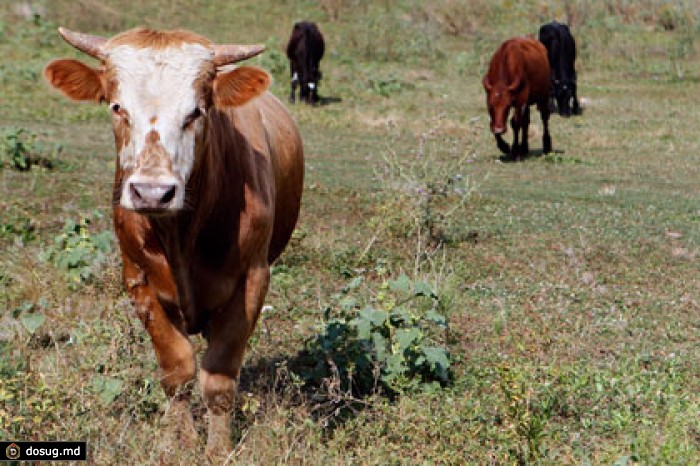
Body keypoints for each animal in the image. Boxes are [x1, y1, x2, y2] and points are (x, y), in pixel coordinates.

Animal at [43, 28, 304, 462]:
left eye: (197, 111)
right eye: (117, 107)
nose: (152, 192)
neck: (181, 236)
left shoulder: (252, 281)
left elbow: (218, 377)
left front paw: (217, 450)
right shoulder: (139, 282)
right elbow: (176, 369)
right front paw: (175, 441)